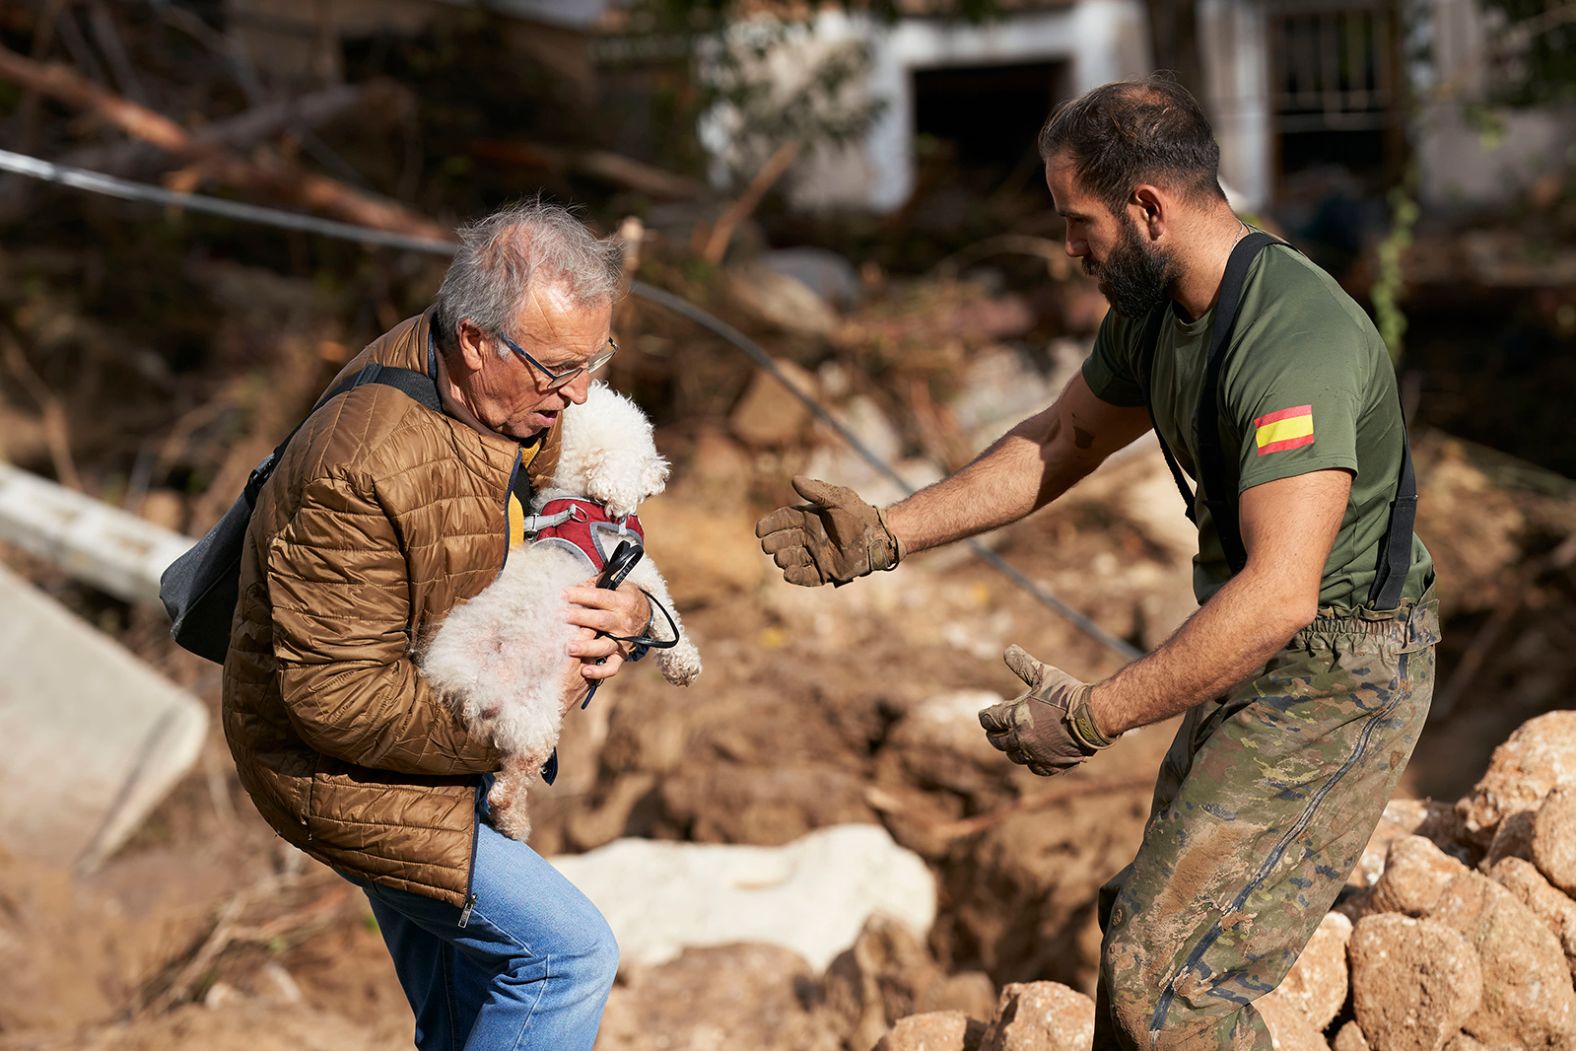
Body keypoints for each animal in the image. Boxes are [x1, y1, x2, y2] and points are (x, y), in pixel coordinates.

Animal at [422, 382, 699, 844]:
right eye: (645, 448)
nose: (663, 474)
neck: (580, 501)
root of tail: (465, 681)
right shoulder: (635, 573)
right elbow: (665, 614)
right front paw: (684, 664)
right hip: (536, 716)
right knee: (510, 784)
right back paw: (514, 822)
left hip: (521, 716)